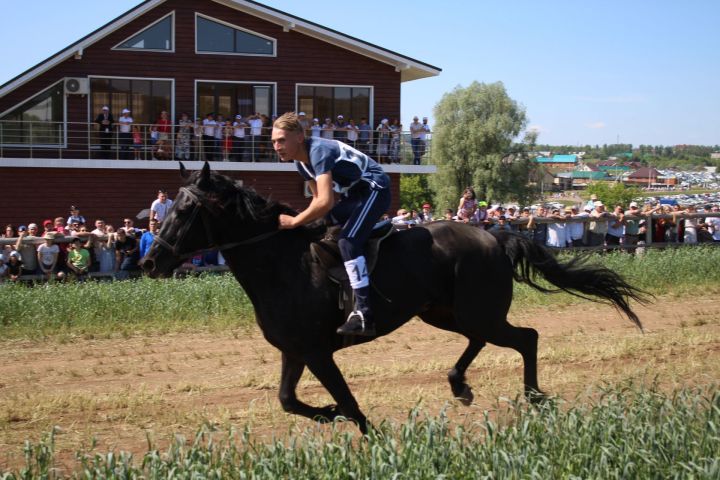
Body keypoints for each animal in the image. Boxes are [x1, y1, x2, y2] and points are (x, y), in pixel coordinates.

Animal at [142, 163, 648, 434]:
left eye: (185, 210)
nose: (149, 261)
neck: (281, 263)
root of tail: (495, 235)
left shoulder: (318, 352)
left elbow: (348, 403)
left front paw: (367, 435)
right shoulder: (295, 350)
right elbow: (288, 400)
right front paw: (325, 414)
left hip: (476, 311)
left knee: (527, 337)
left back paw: (533, 396)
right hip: (445, 313)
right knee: (494, 341)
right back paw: (461, 385)